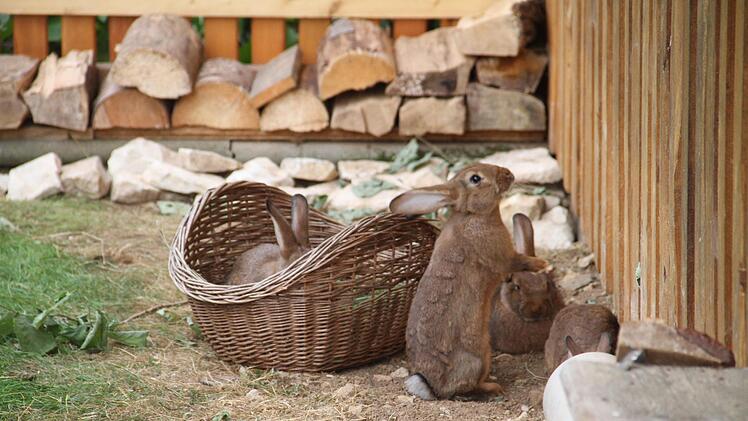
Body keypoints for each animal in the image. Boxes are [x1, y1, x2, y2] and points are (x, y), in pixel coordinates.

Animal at [390, 163, 549, 400]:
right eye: (475, 179)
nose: (509, 174)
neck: (474, 215)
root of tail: (431, 386)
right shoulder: (503, 256)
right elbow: (518, 262)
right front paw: (542, 263)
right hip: (478, 359)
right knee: (466, 388)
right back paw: (494, 387)